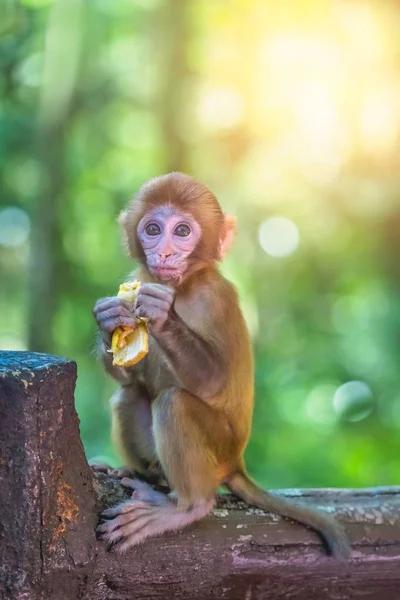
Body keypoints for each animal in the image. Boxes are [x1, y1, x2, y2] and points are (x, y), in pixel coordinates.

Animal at [94, 172, 350, 556]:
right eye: (152, 229)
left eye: (182, 231)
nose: (164, 252)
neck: (183, 287)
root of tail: (236, 463)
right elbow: (129, 376)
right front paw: (108, 321)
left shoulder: (216, 299)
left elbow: (213, 381)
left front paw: (163, 316)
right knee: (130, 395)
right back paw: (143, 474)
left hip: (218, 449)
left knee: (175, 403)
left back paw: (187, 507)